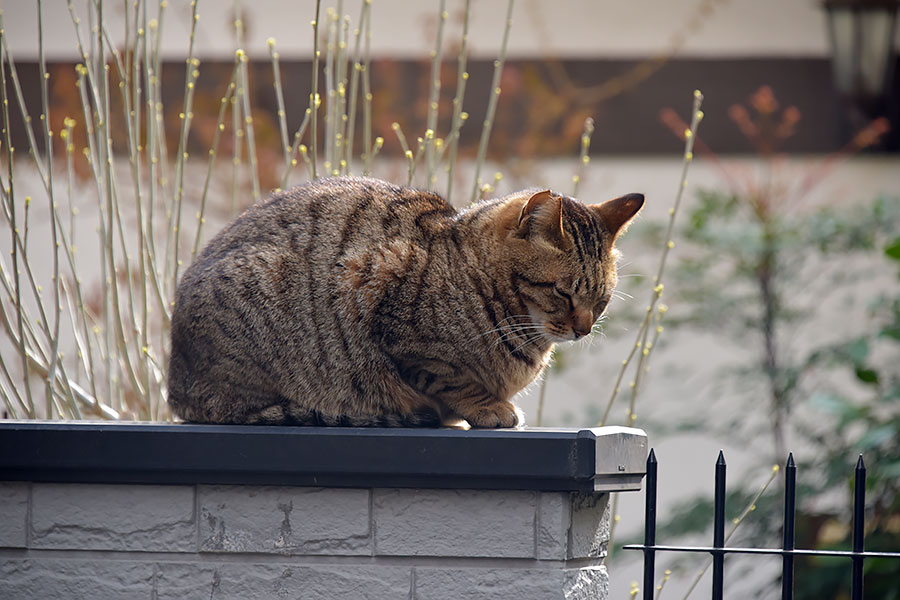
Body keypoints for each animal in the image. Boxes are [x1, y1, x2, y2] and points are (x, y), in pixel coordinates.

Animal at [169, 175, 644, 426]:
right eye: (562, 292)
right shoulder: (380, 293)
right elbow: (452, 379)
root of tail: (176, 384)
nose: (583, 329)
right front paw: (488, 407)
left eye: (600, 301)